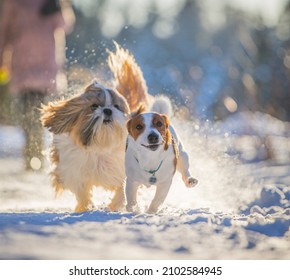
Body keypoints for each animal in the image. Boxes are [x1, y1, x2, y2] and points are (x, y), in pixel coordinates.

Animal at [40, 43, 147, 211]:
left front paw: (115, 205)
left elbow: (122, 189)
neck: (100, 147)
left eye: (116, 106)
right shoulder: (73, 172)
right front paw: (84, 207)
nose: (107, 110)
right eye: (95, 106)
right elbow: (82, 191)